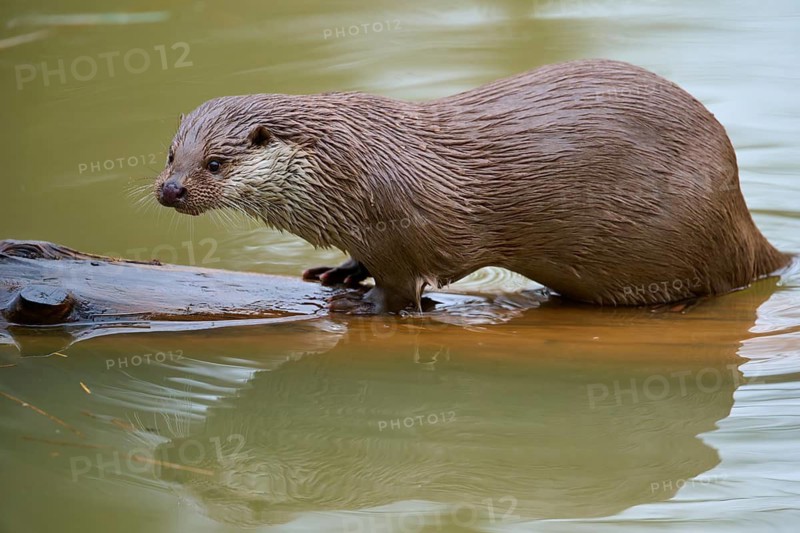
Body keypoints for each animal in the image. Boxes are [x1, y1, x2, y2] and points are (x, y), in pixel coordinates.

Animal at [153, 59, 789, 313]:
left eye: (215, 163)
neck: (348, 166)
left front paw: (364, 303)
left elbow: (401, 285)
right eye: (171, 154)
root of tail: (745, 219)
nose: (170, 191)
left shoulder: (398, 228)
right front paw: (340, 272)